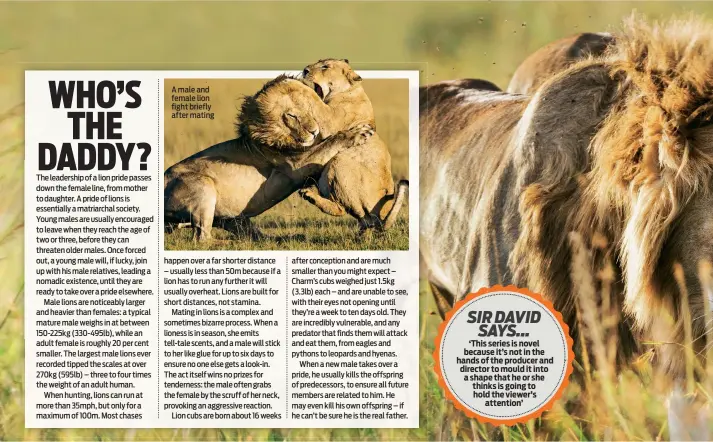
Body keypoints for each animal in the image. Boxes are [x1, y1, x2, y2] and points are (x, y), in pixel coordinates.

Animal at [163, 76, 370, 242]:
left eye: (310, 111)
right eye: (292, 115)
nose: (314, 131)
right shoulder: (295, 166)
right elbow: (330, 142)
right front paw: (358, 133)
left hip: (232, 218)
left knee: (249, 232)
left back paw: (280, 238)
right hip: (203, 185)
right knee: (202, 239)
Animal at [296, 59, 406, 233]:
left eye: (325, 66)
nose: (305, 70)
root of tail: (380, 217)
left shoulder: (330, 120)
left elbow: (316, 103)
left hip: (339, 163)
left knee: (343, 209)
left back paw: (310, 194)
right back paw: (310, 190)